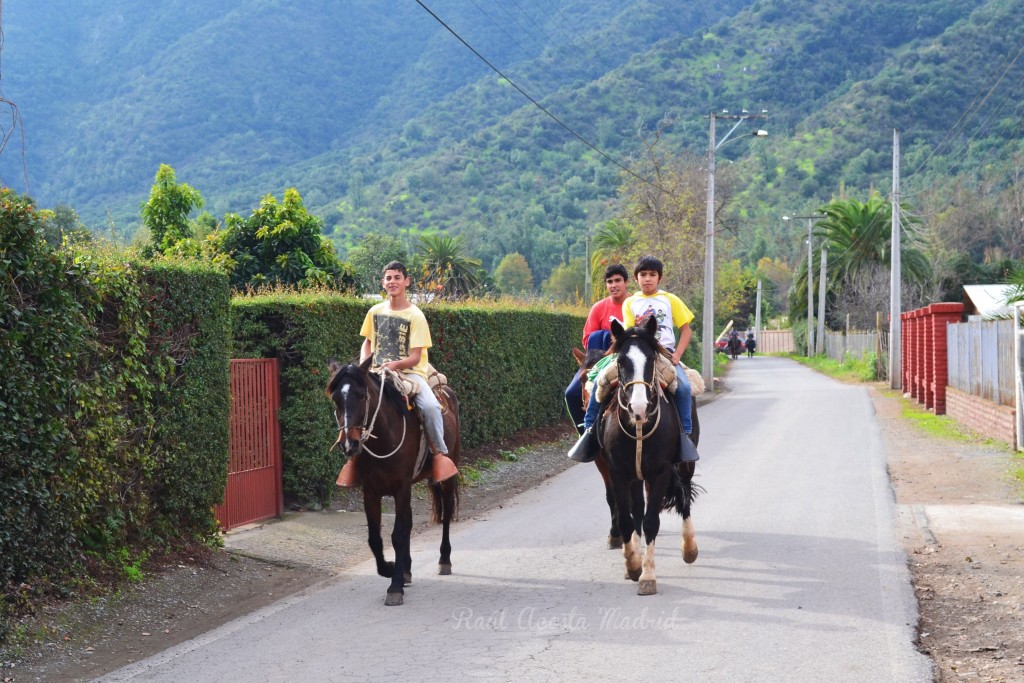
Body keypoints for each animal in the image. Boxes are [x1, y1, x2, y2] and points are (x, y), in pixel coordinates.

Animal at [327, 356, 460, 606]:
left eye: (362, 395)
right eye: (336, 398)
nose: (349, 444)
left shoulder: (401, 487)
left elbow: (397, 535)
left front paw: (395, 586)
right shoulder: (370, 492)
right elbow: (375, 538)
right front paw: (390, 569)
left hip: (448, 476)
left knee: (446, 514)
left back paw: (444, 560)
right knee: (408, 523)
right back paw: (406, 569)